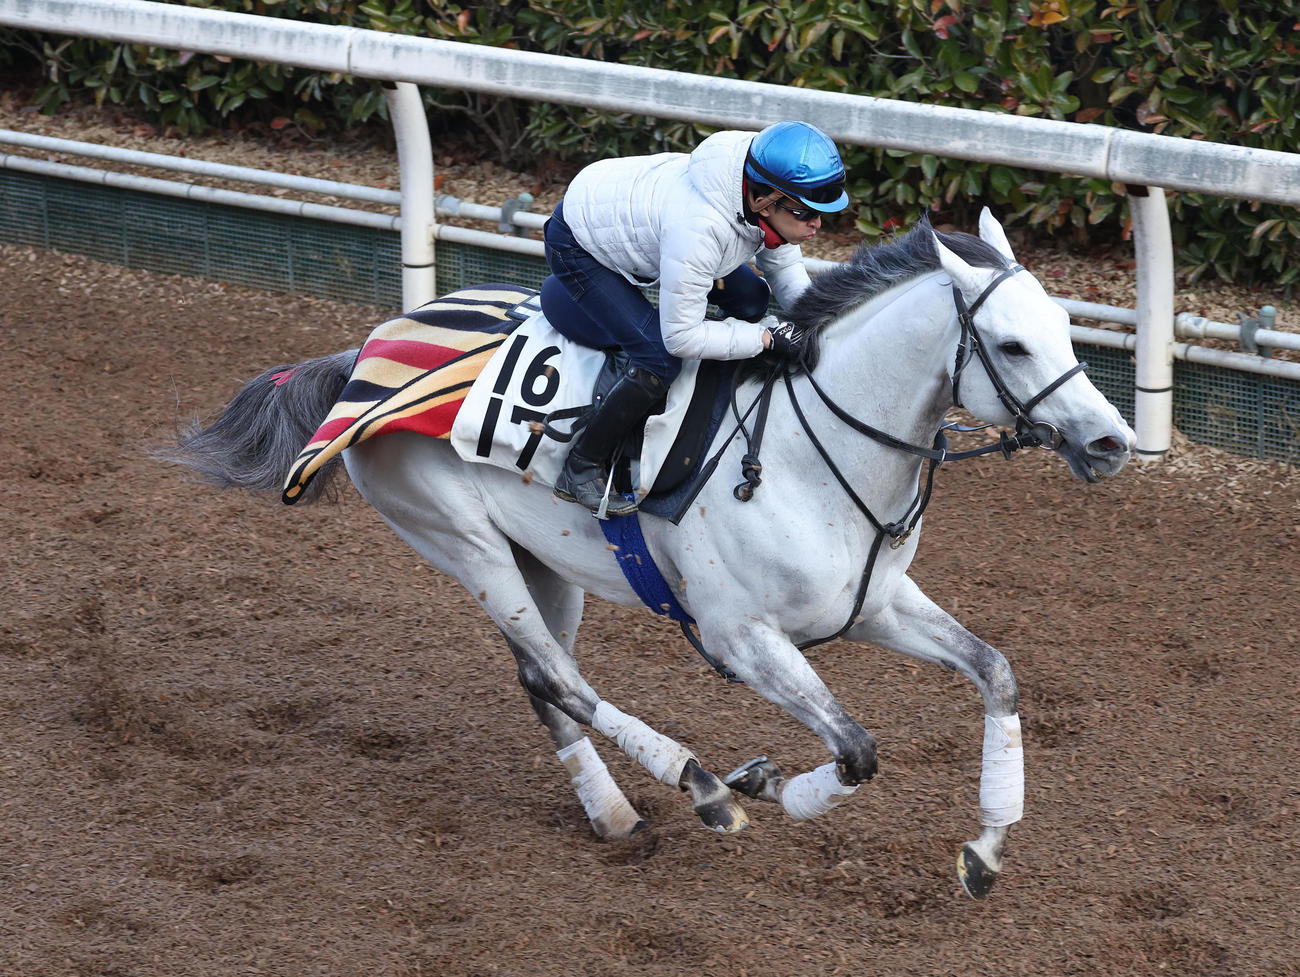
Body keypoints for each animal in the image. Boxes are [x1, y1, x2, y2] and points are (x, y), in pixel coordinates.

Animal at [164, 209, 1134, 899]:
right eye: (1011, 343)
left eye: (1065, 327)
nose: (1113, 441)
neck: (810, 449)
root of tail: (366, 348)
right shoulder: (741, 638)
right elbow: (858, 749)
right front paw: (759, 787)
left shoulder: (876, 604)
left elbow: (997, 671)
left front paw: (986, 847)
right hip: (463, 543)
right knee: (565, 680)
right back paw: (700, 787)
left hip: (544, 564)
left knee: (541, 681)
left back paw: (616, 812)